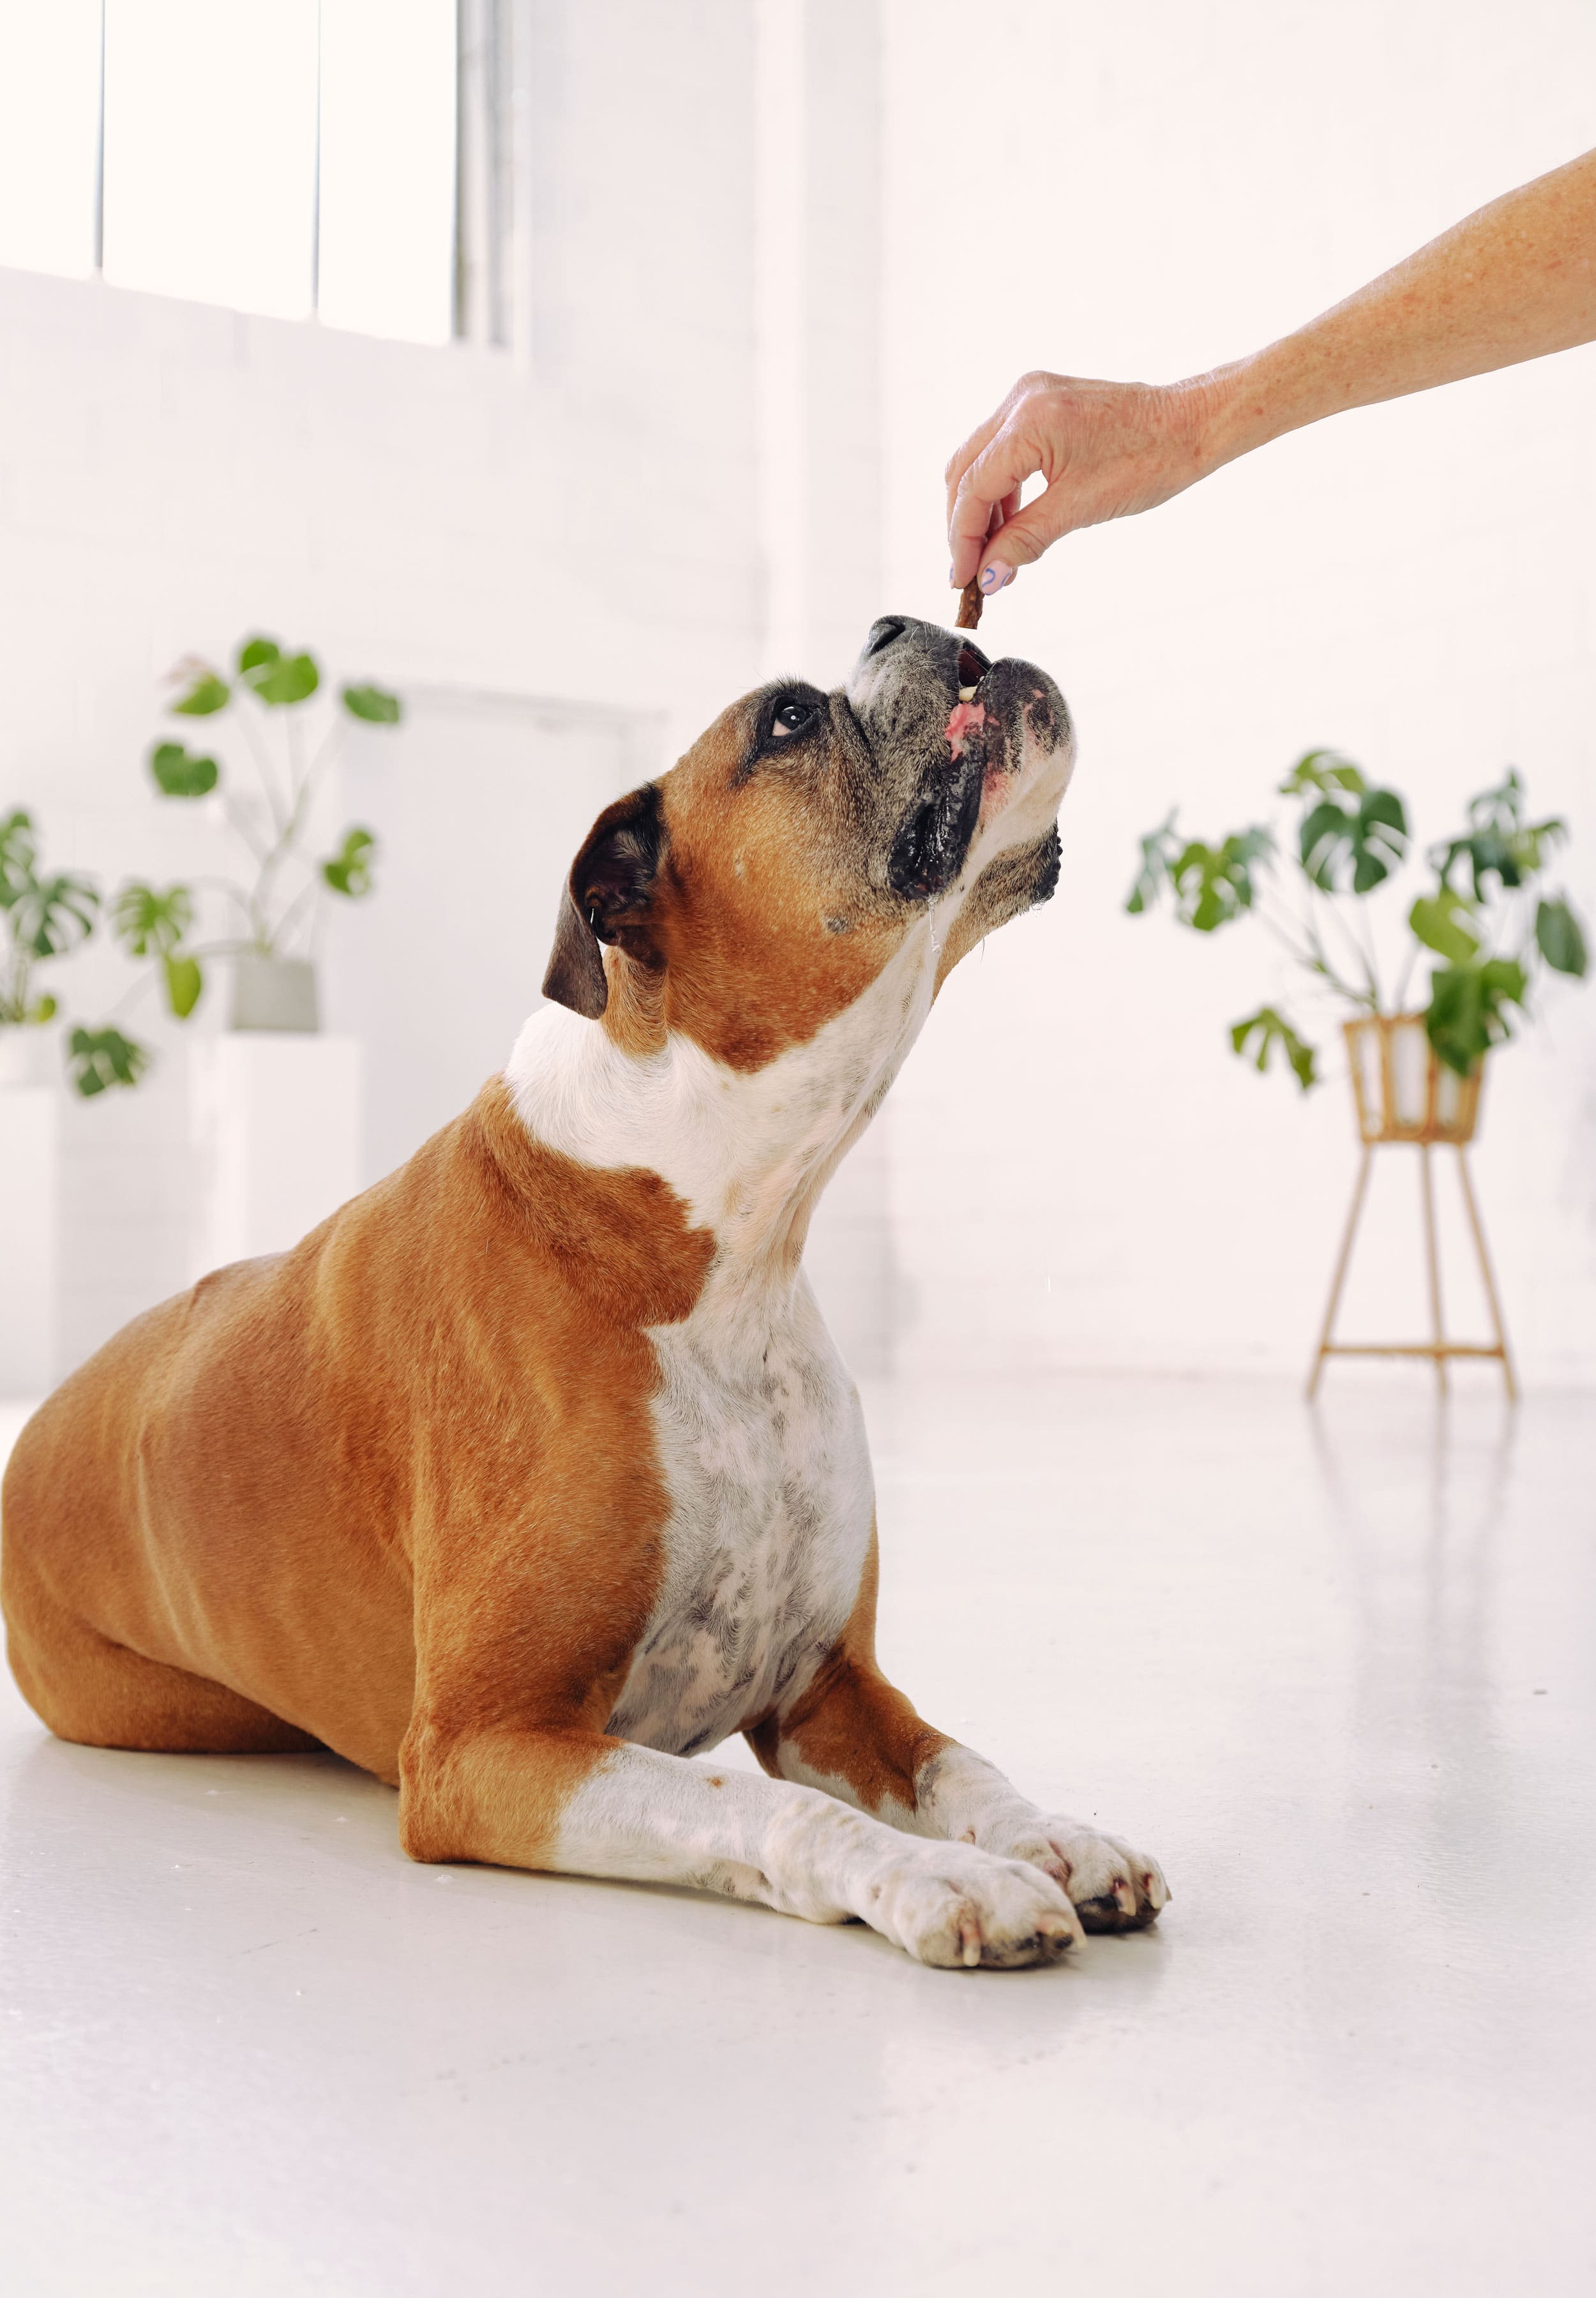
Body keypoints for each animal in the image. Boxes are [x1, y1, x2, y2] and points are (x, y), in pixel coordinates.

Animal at [6, 620, 1168, 1967]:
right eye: (785, 721)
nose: (919, 627)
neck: (717, 1234)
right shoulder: (486, 1747)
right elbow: (764, 1807)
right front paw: (942, 1878)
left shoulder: (832, 1692)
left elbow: (959, 1763)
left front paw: (1056, 1836)